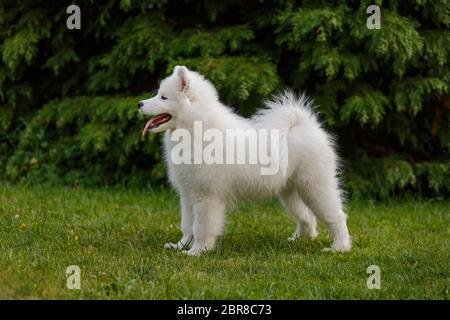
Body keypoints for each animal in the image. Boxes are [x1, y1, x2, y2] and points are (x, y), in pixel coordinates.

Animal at [138, 65, 352, 255]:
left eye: (163, 97)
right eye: (157, 94)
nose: (139, 104)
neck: (196, 129)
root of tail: (305, 125)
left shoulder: (206, 196)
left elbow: (201, 227)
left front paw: (197, 251)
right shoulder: (188, 194)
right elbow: (187, 225)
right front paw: (180, 246)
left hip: (315, 187)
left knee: (337, 216)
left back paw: (339, 247)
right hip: (290, 191)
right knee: (307, 217)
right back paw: (299, 239)